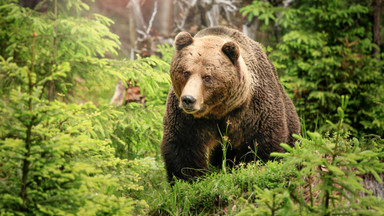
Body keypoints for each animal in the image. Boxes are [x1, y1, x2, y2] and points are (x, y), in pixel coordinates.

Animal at [160, 26, 300, 183]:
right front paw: (187, 179)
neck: (218, 110)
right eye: (186, 72)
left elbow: (265, 144)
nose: (188, 99)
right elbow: (184, 147)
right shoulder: (187, 118)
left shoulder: (255, 111)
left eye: (207, 76)